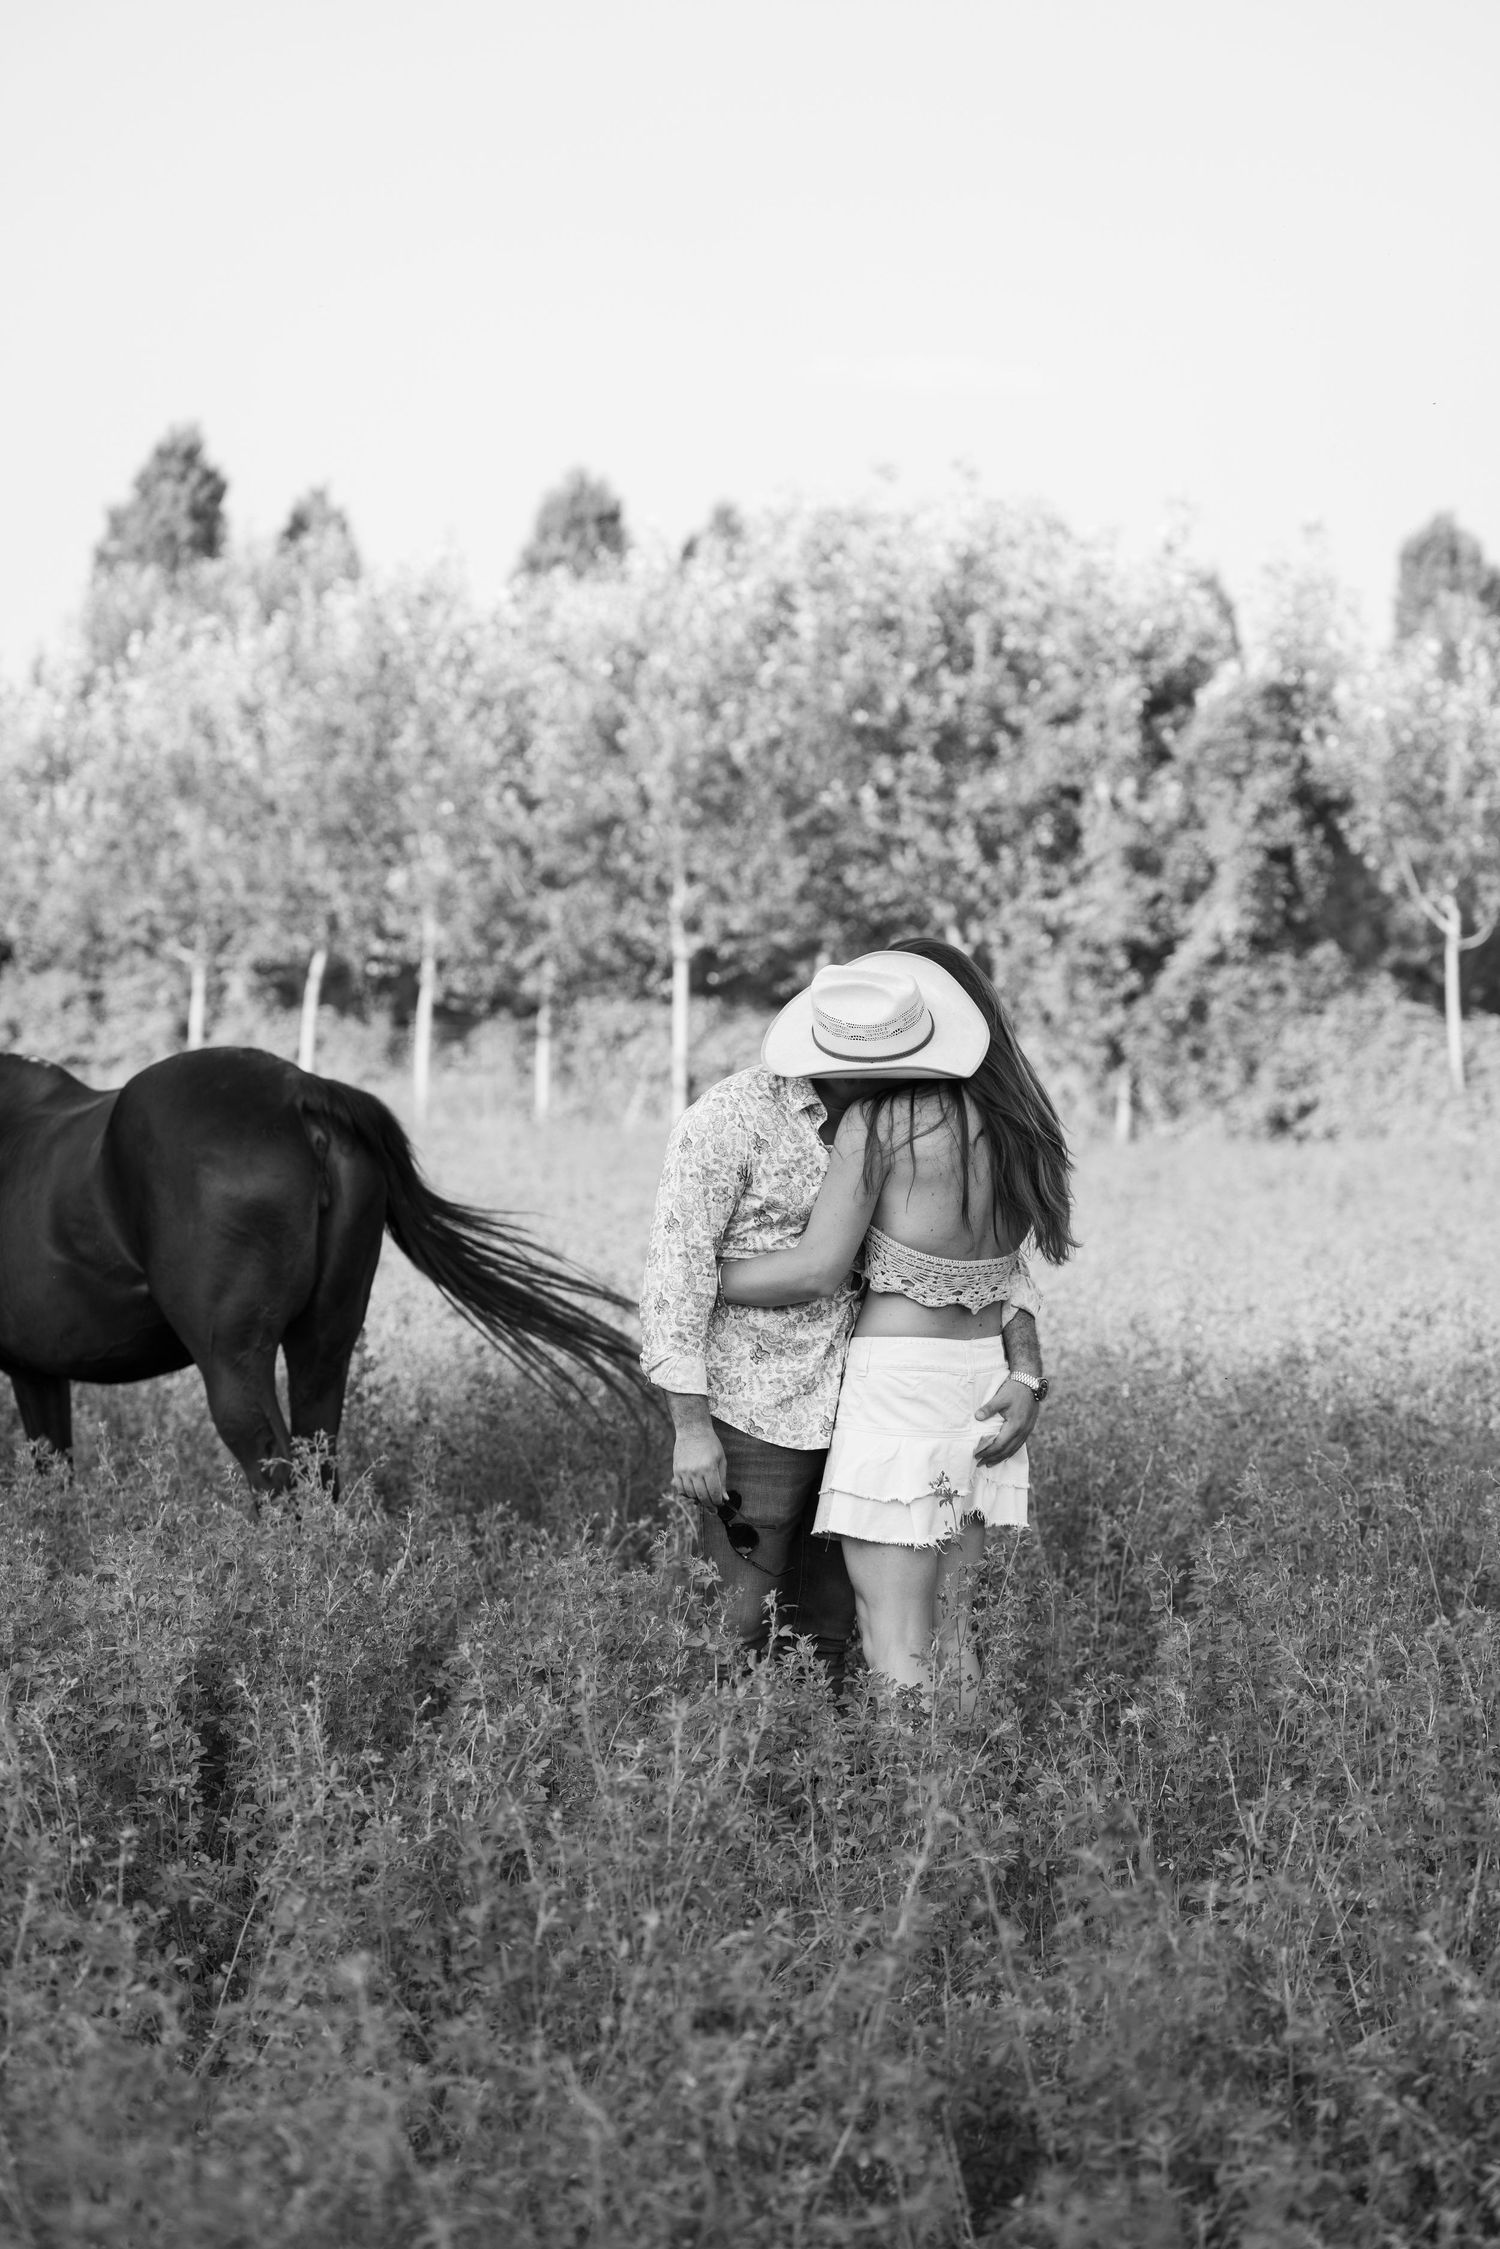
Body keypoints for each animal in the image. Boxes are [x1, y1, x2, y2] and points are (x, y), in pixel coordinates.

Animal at [0, 1047, 642, 1492]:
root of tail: (300, 1092)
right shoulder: (38, 1372)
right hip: (326, 1343)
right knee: (319, 1462)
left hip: (234, 1361)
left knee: (276, 1471)